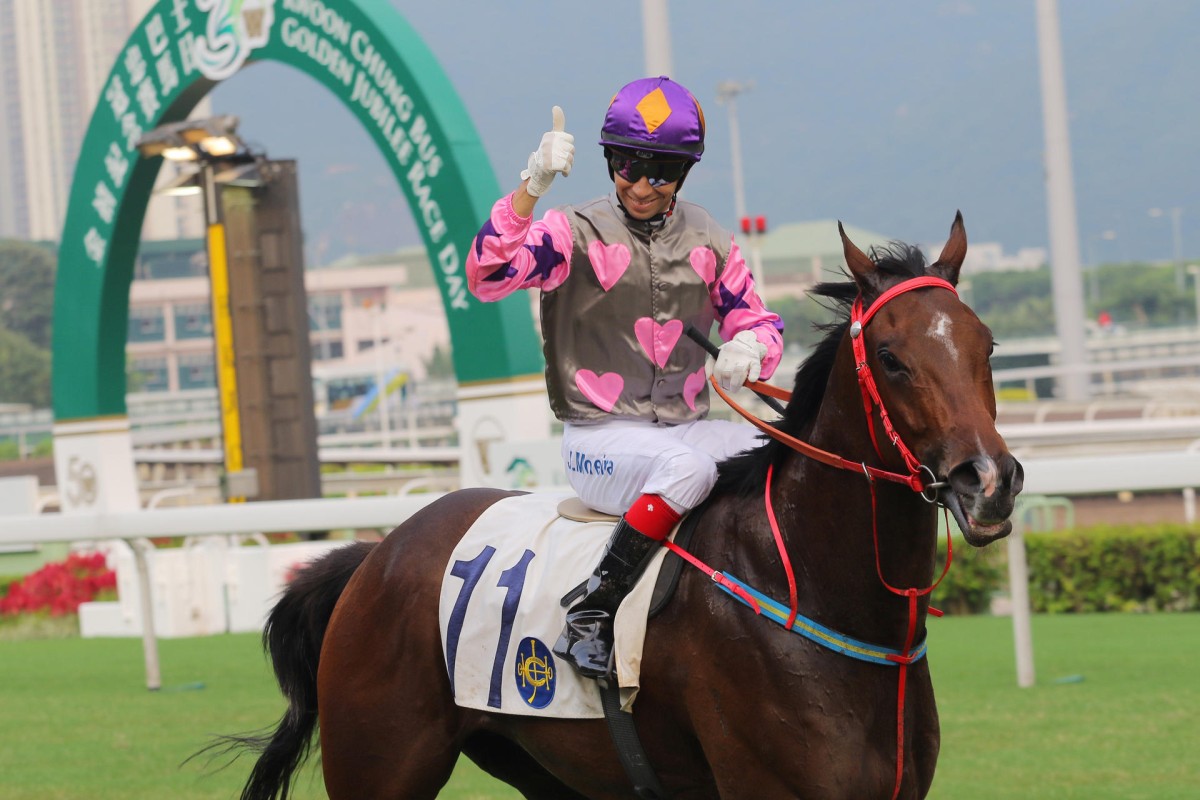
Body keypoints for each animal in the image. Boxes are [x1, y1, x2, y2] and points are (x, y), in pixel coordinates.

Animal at [216, 214, 1022, 800]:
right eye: (891, 358)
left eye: (986, 345)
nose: (989, 479)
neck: (815, 588)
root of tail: (373, 555)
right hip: (379, 765)